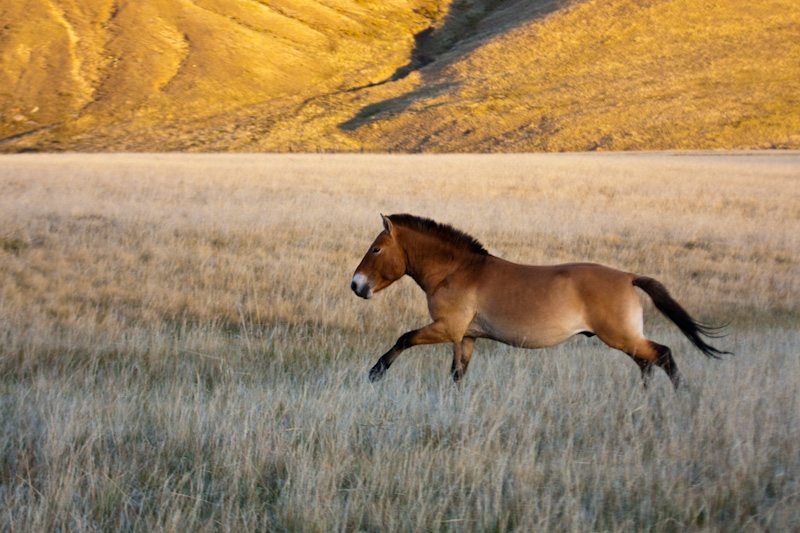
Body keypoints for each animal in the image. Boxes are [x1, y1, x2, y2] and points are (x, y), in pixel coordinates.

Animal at [352, 212, 732, 386]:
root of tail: (628, 276)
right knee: (647, 363)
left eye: (376, 249)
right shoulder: (467, 337)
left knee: (662, 355)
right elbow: (458, 374)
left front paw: (375, 371)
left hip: (621, 336)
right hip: (627, 339)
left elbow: (403, 338)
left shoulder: (446, 328)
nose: (356, 285)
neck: (456, 270)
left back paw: (681, 399)